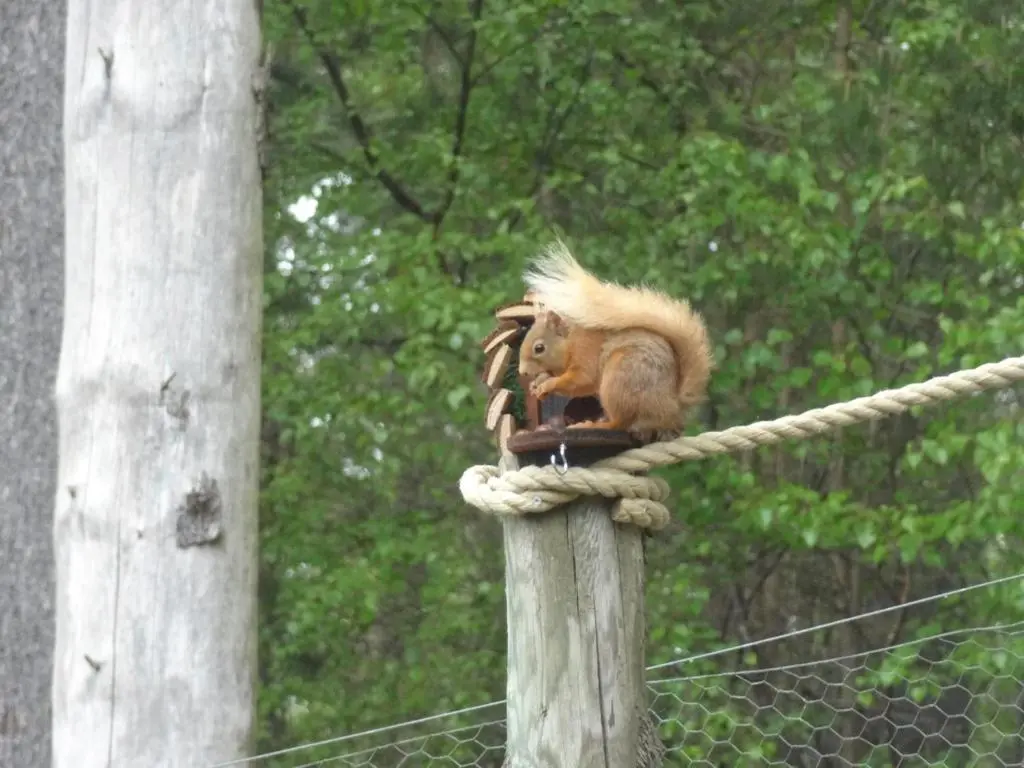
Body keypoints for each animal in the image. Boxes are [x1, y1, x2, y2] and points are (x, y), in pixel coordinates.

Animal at [517, 241, 713, 435]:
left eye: (539, 348)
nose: (523, 372)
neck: (570, 342)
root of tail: (671, 406)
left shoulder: (586, 352)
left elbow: (580, 380)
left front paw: (548, 384)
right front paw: (537, 383)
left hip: (619, 378)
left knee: (620, 423)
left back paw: (593, 425)